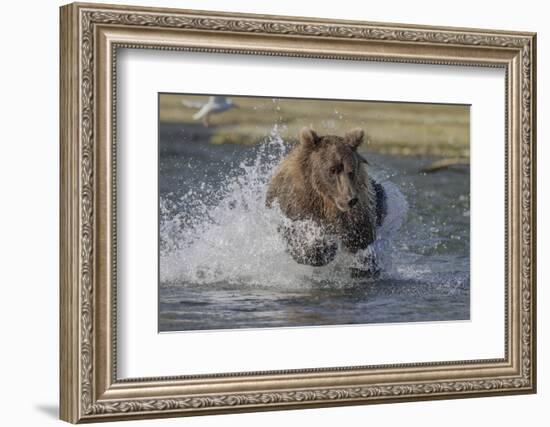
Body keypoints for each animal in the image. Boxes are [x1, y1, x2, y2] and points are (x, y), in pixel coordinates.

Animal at [268, 127, 388, 278]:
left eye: (351, 170)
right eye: (332, 169)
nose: (350, 199)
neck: (326, 201)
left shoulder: (359, 210)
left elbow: (361, 239)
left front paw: (363, 266)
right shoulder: (297, 204)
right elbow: (296, 233)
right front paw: (324, 248)